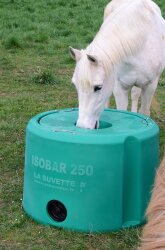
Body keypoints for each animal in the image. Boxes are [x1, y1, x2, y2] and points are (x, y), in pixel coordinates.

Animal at [69, 0, 165, 129]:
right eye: (75, 85)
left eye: (98, 87)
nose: (82, 126)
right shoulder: (119, 87)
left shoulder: (150, 86)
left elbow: (144, 112)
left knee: (135, 94)